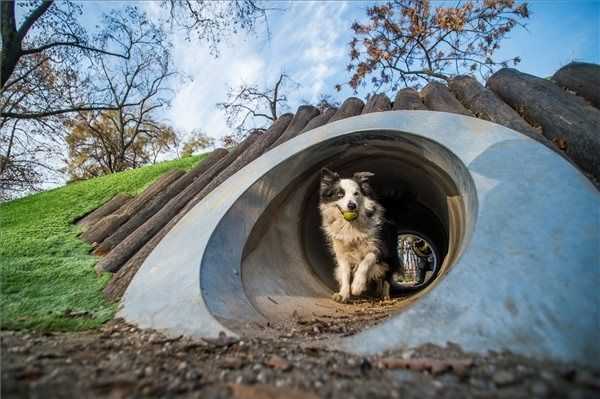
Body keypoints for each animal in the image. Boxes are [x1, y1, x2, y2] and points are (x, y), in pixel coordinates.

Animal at [318, 168, 390, 304]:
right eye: (340, 194)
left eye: (356, 193)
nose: (352, 205)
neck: (350, 225)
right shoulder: (341, 252)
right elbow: (345, 274)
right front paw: (343, 294)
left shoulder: (378, 248)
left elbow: (366, 262)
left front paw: (357, 286)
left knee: (385, 277)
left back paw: (385, 295)